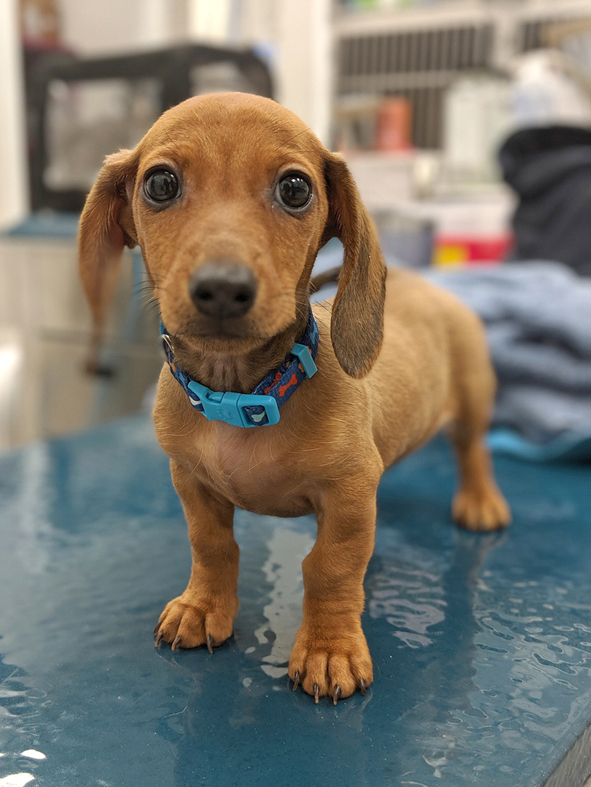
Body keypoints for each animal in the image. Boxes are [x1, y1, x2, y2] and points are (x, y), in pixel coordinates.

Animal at [80, 91, 512, 700]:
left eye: (294, 188)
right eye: (160, 183)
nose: (222, 288)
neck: (247, 398)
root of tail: (427, 283)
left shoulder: (350, 493)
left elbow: (331, 566)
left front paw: (330, 649)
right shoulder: (190, 481)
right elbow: (211, 545)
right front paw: (202, 607)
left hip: (473, 398)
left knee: (472, 451)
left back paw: (479, 501)